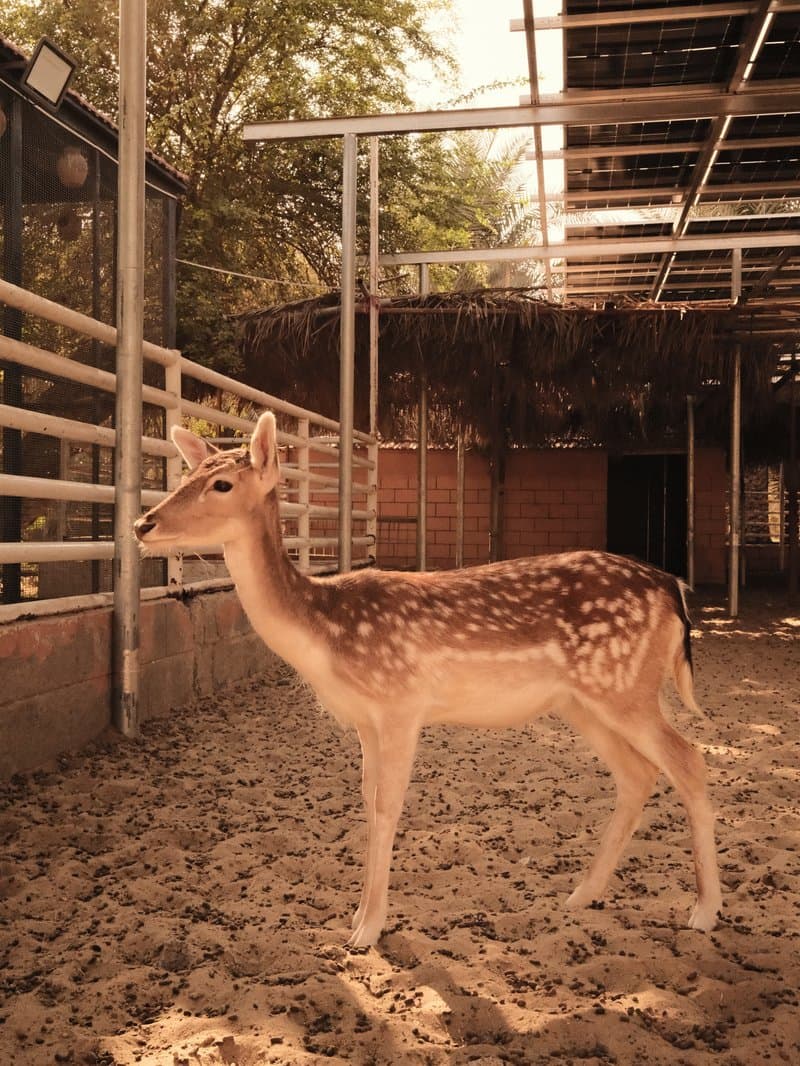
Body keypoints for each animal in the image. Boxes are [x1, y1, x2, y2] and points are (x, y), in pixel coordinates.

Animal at [134, 411, 723, 949]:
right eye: (188, 473)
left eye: (222, 483)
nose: (143, 525)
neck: (326, 636)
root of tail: (674, 591)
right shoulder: (366, 720)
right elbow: (367, 802)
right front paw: (355, 919)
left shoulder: (400, 703)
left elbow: (388, 806)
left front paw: (368, 930)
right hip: (582, 701)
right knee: (638, 774)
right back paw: (580, 895)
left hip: (624, 686)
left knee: (689, 760)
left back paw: (704, 912)